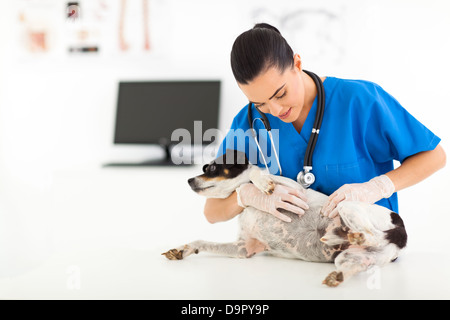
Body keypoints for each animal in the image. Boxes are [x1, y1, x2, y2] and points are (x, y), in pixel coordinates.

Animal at [163, 150, 408, 288]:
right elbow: (200, 242)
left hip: (346, 206)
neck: (250, 207)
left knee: (370, 234)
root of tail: (401, 234)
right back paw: (337, 270)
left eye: (212, 167)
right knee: (353, 263)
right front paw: (182, 249)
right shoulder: (244, 249)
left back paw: (345, 235)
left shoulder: (294, 190)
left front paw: (263, 185)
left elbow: (254, 176)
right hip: (352, 258)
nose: (188, 180)